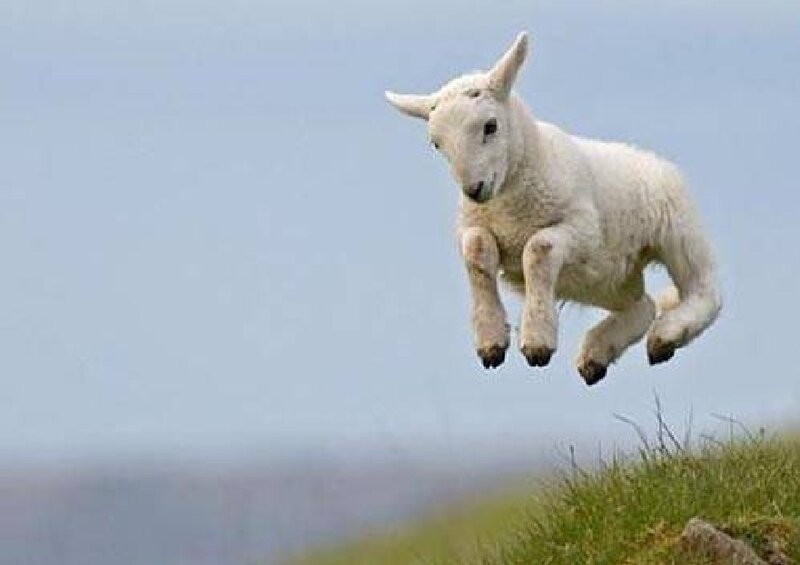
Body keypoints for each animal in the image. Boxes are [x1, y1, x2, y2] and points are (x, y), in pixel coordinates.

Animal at [385, 32, 721, 385]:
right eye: (436, 143)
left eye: (490, 126)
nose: (473, 189)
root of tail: (649, 158)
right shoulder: (472, 225)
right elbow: (477, 251)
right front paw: (491, 343)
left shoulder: (583, 229)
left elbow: (539, 250)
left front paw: (536, 343)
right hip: (602, 279)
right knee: (642, 305)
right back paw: (598, 356)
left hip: (676, 228)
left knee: (705, 291)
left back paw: (666, 335)